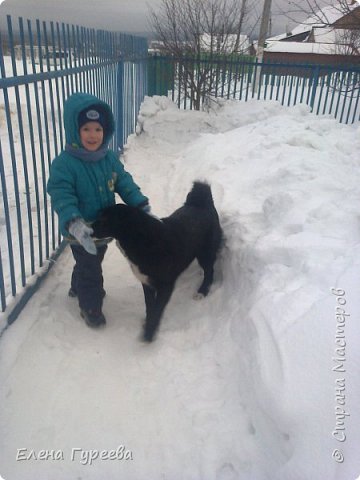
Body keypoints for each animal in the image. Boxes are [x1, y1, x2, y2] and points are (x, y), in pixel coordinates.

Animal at [92, 182, 222, 344]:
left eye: (104, 219)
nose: (88, 228)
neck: (142, 239)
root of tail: (202, 203)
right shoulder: (146, 283)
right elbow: (150, 307)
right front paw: (147, 324)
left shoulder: (165, 286)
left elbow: (157, 310)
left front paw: (149, 334)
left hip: (205, 253)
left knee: (209, 271)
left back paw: (202, 291)